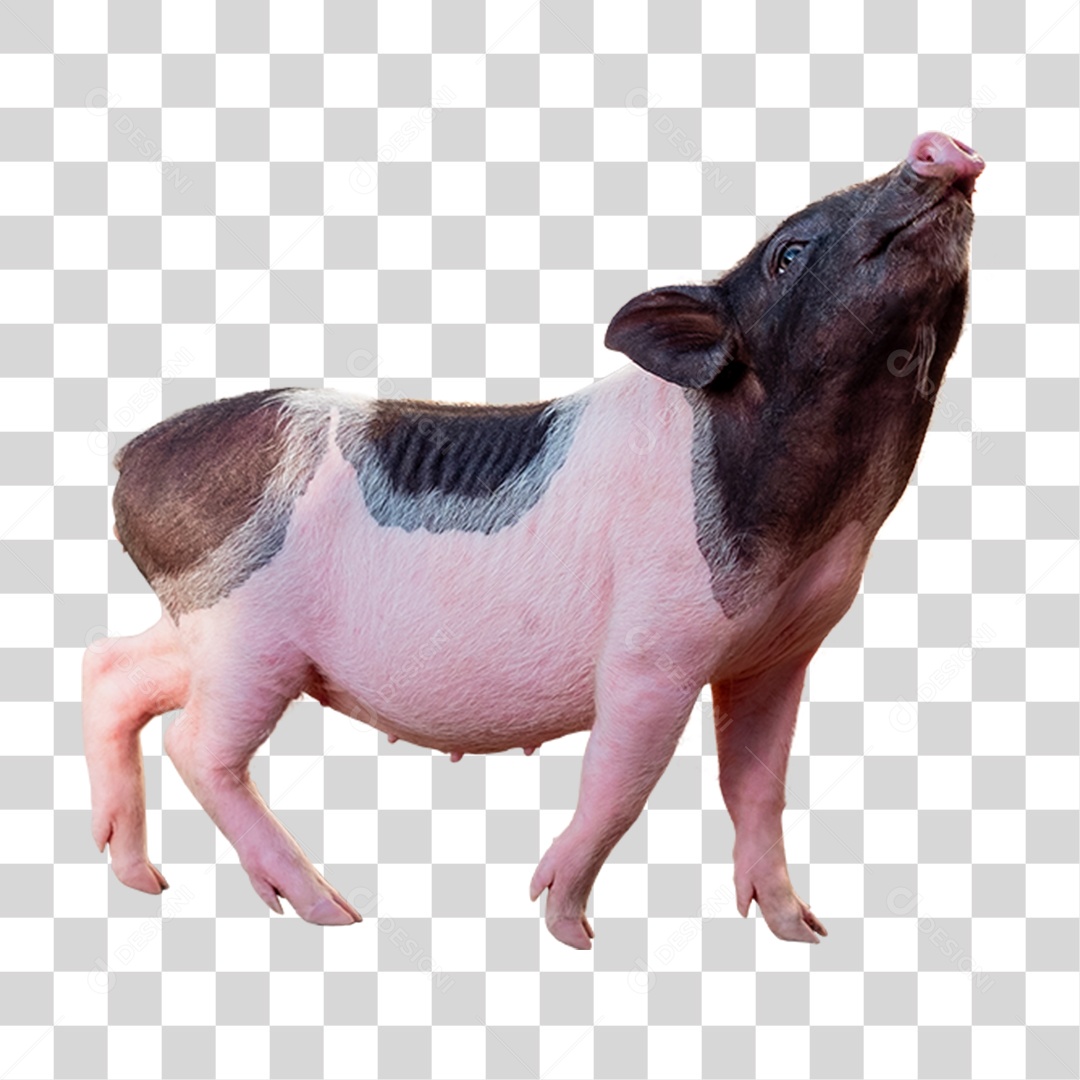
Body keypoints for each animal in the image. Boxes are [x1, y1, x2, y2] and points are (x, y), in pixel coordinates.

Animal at [83, 132, 983, 948]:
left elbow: (756, 786)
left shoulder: (777, 654)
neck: (824, 520)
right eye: (789, 255)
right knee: (197, 746)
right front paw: (569, 929)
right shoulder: (653, 650)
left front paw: (803, 933)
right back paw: (331, 912)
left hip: (202, 631)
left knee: (110, 670)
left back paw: (141, 879)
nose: (939, 145)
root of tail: (129, 457)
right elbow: (622, 779)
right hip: (248, 639)